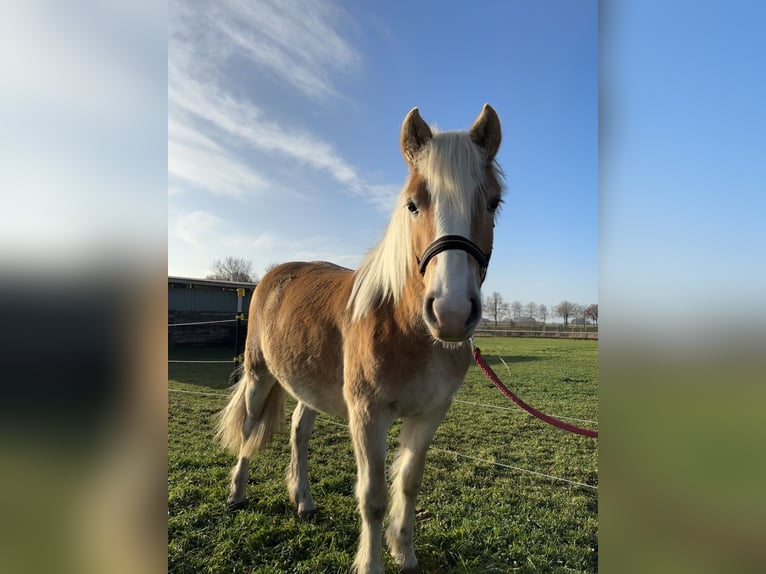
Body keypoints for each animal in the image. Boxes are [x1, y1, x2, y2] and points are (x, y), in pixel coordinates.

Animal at [216, 104, 504, 574]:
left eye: (493, 202)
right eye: (413, 204)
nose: (451, 312)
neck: (408, 330)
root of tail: (272, 277)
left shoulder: (430, 413)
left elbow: (408, 483)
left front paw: (404, 553)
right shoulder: (367, 415)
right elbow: (373, 497)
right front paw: (372, 562)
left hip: (309, 386)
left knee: (298, 431)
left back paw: (303, 500)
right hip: (259, 377)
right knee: (248, 427)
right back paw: (237, 493)